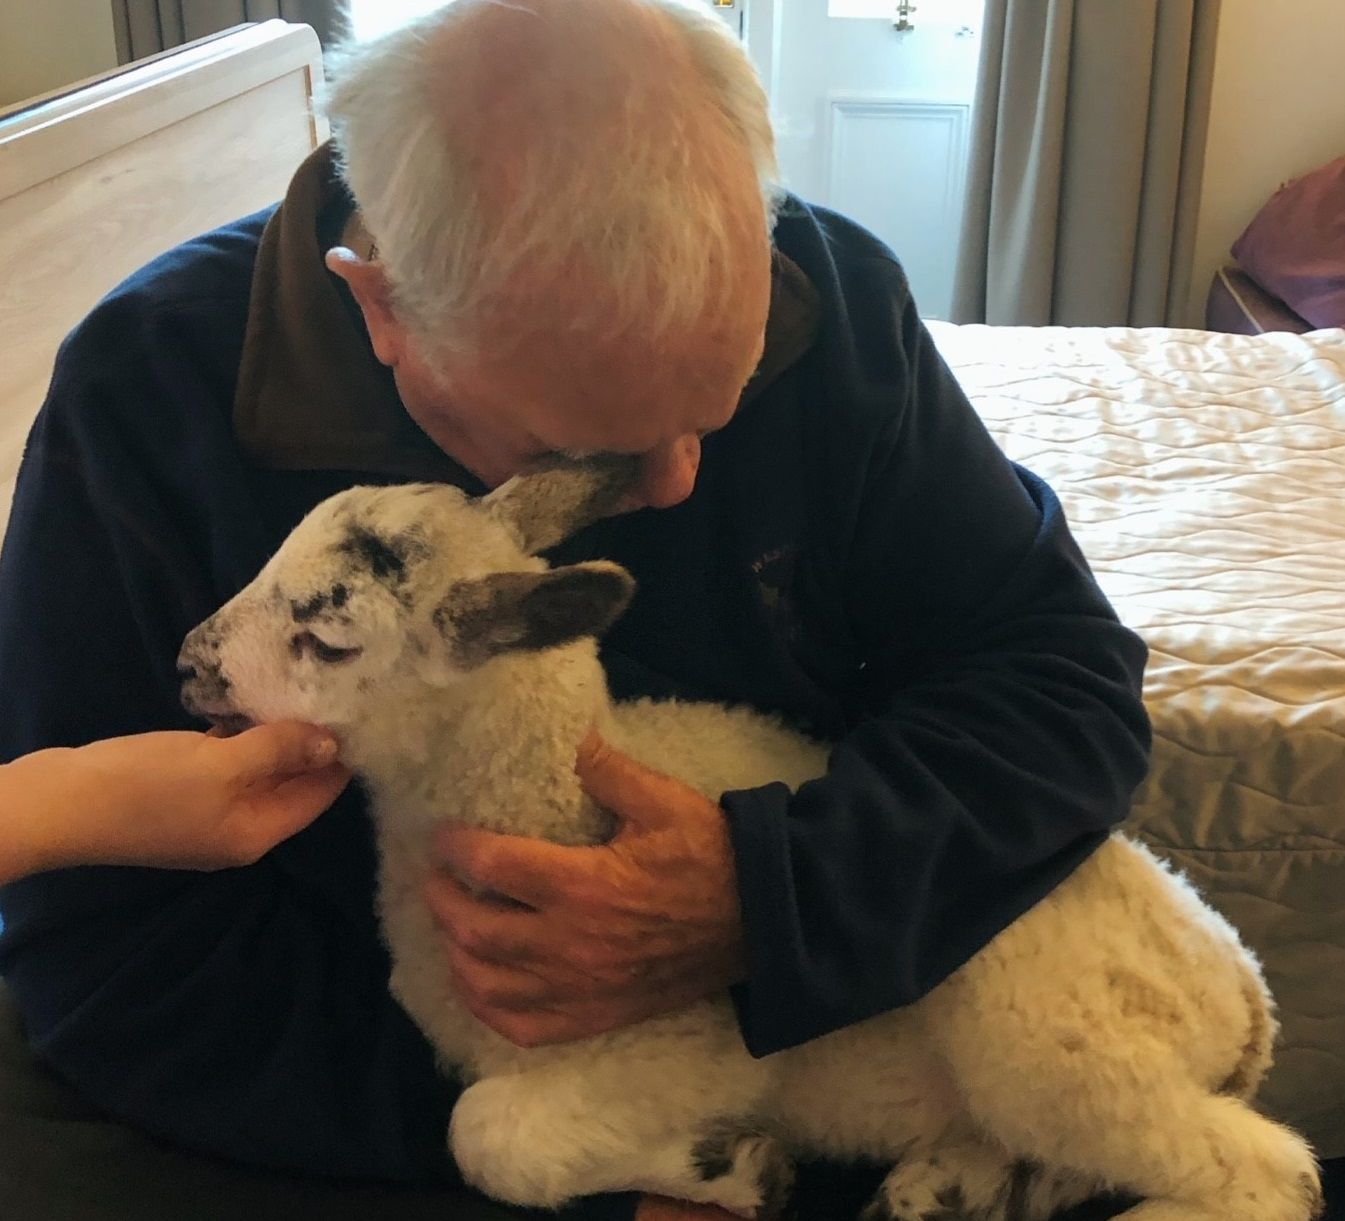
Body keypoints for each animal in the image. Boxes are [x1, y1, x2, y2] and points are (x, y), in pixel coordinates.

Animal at [178, 456, 1323, 1221]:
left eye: (327, 634)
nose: (188, 663)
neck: (542, 805)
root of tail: (1242, 984)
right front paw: (736, 1168)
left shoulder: (677, 1055)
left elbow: (491, 1138)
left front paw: (730, 1169)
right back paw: (949, 1184)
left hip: (1047, 1034)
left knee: (1270, 1175)